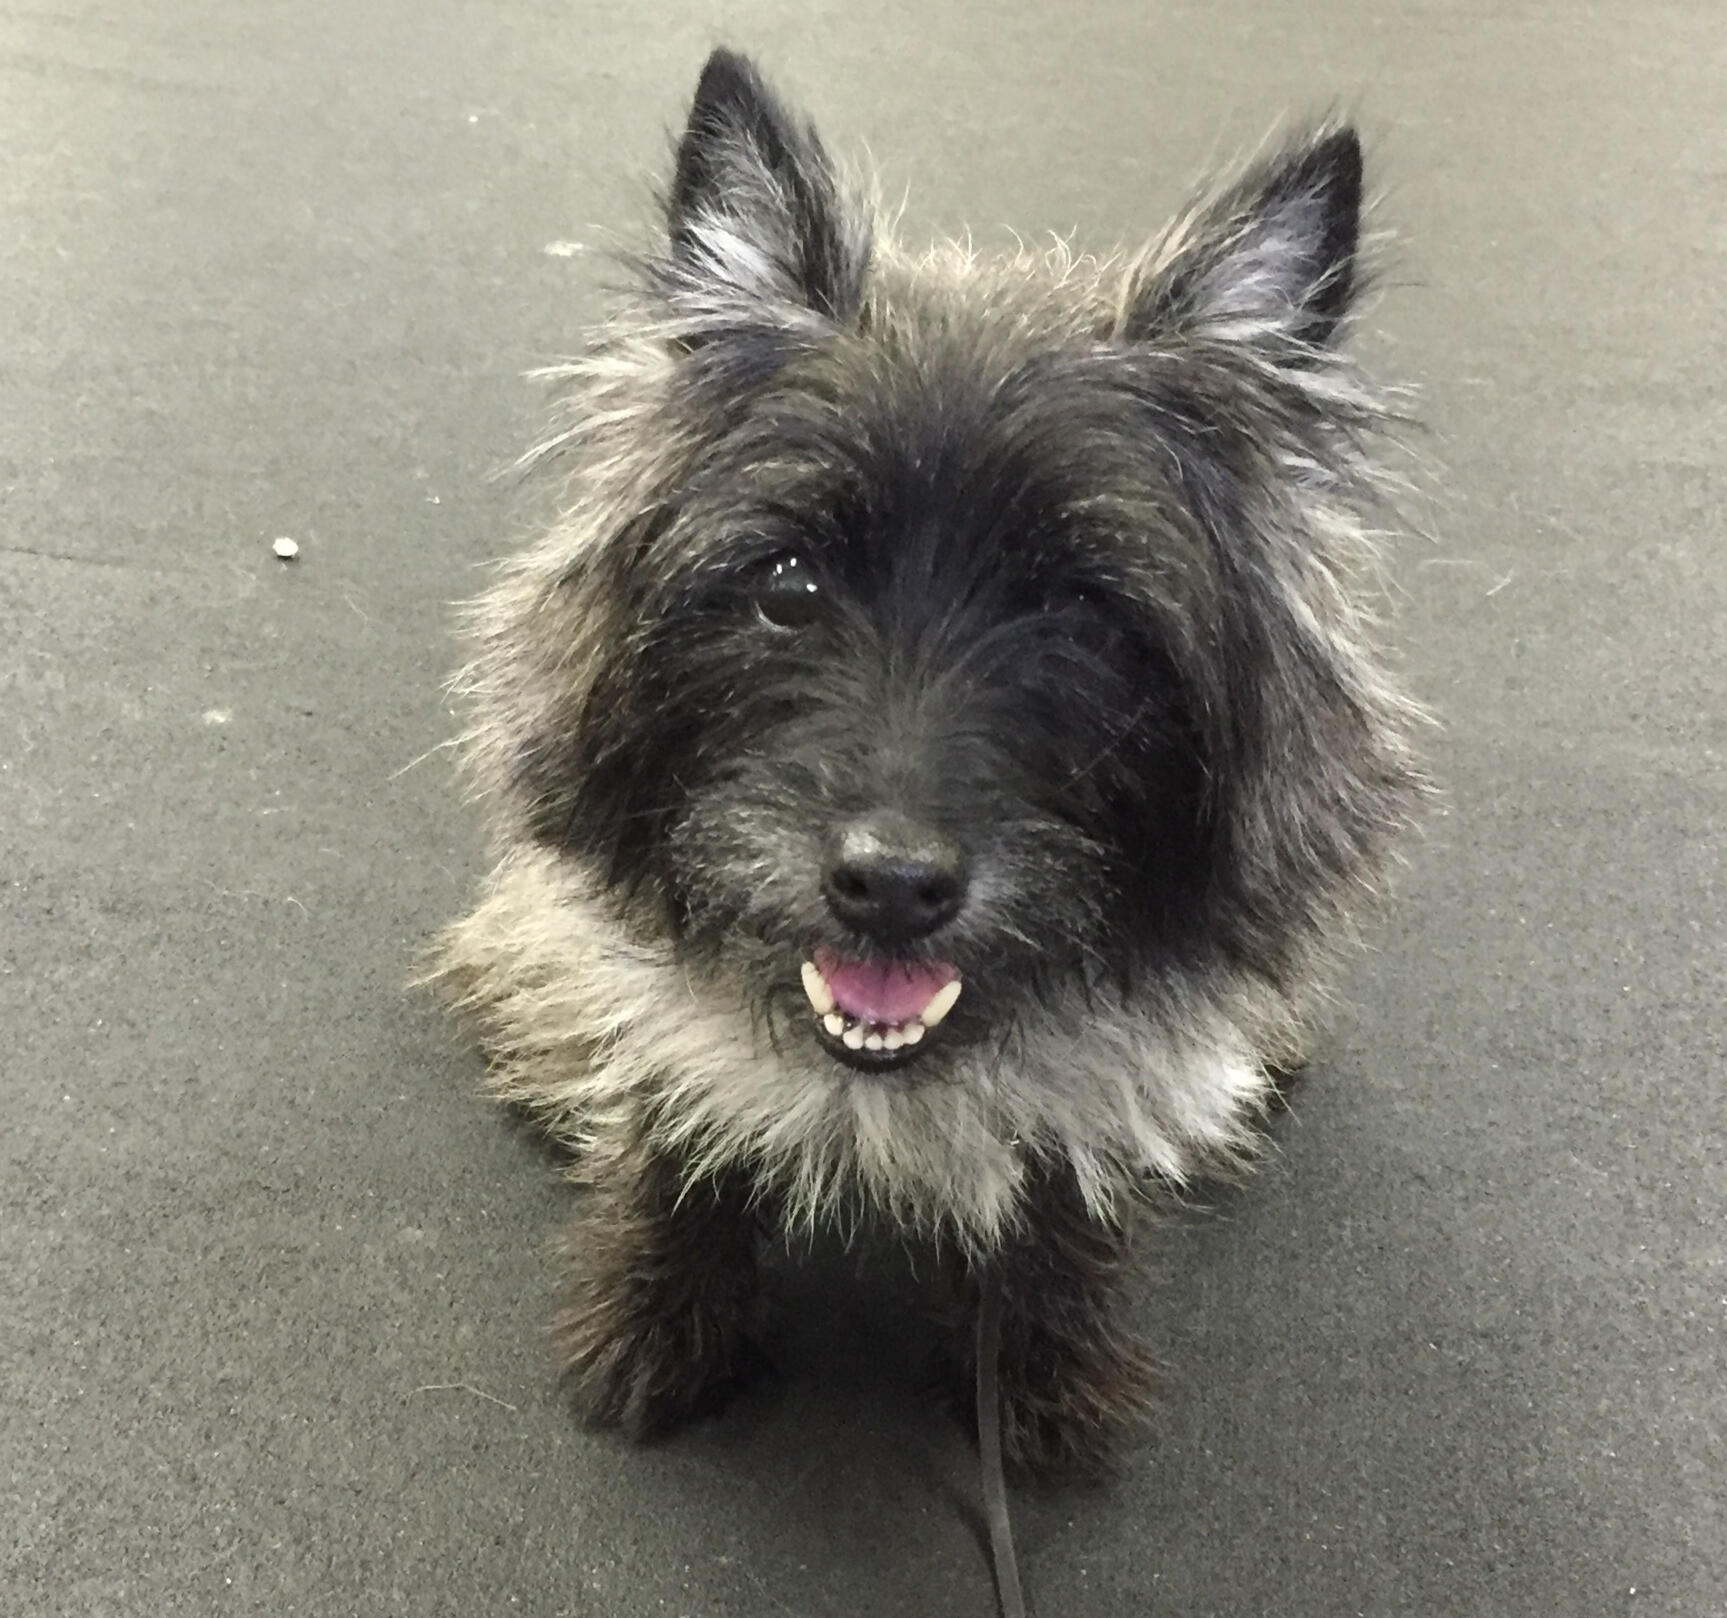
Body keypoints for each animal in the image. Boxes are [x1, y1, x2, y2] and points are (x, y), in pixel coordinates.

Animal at [435, 50, 1429, 1471]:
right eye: (788, 582)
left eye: (1080, 616)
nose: (890, 884)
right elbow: (676, 1139)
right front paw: (655, 1325)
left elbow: (1060, 1191)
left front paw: (1038, 1372)